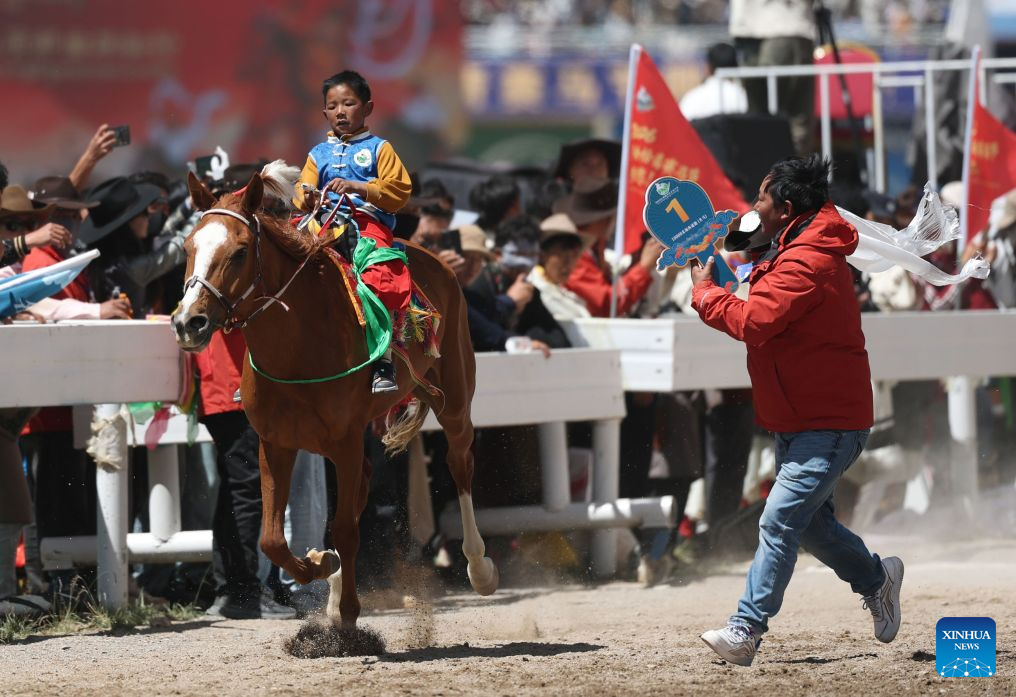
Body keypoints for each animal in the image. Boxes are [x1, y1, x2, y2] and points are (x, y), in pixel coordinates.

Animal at [171, 163, 498, 629]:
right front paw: (322, 566)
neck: (297, 346)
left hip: (454, 396)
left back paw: (479, 567)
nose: (189, 322)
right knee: (363, 488)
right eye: (187, 247)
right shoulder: (276, 442)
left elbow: (345, 528)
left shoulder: (343, 439)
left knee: (459, 464)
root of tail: (438, 262)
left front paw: (347, 611)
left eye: (238, 252)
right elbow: (273, 538)